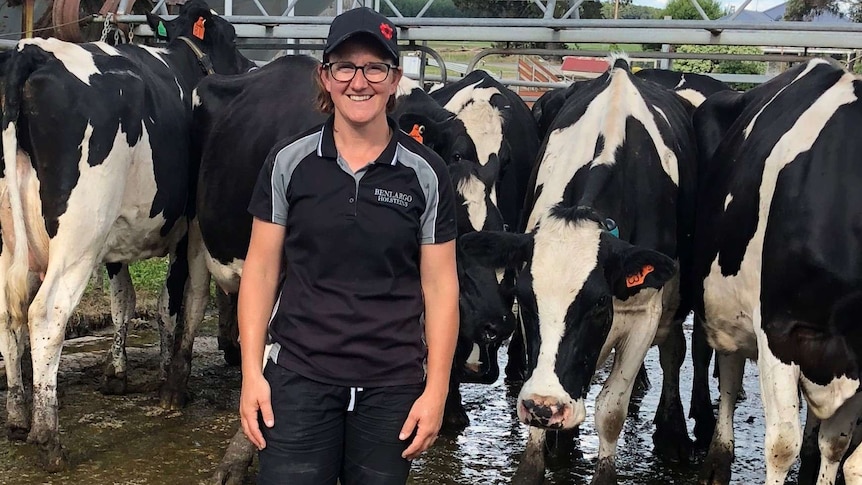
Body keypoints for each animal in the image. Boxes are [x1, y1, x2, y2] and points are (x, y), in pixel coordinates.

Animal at [0, 0, 255, 468]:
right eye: (231, 37)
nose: (249, 68)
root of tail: (34, 52)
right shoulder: (183, 229)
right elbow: (170, 303)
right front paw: (167, 377)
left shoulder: (115, 242)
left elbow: (124, 301)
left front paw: (116, 372)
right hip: (80, 233)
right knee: (45, 313)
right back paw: (47, 436)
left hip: (13, 238)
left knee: (10, 314)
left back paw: (16, 415)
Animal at [462, 54, 700, 482]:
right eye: (525, 298)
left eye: (598, 304)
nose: (545, 405)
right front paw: (536, 460)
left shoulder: (645, 313)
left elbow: (611, 410)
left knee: (674, 349)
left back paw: (673, 435)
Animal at [692, 57, 862, 484]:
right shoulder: (779, 331)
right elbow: (782, 445)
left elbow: (836, 446)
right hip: (724, 305)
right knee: (729, 374)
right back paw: (718, 457)